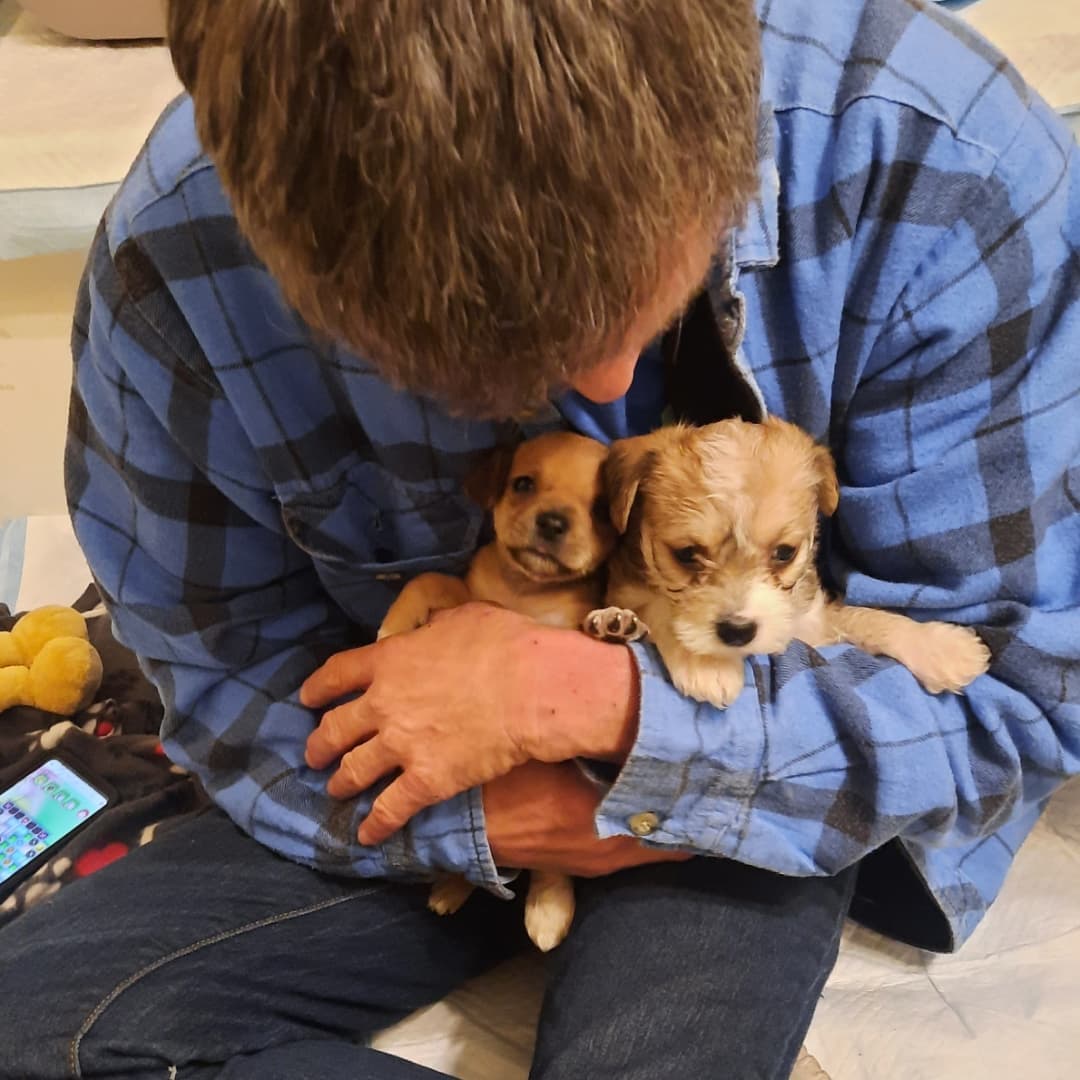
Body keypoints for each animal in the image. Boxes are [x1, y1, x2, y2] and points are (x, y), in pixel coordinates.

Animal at [380, 432, 617, 954]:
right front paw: (394, 625)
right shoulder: (469, 596)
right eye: (523, 484)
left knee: (549, 863)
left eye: (601, 508)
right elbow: (430, 577)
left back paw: (548, 908)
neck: (526, 589)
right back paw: (450, 888)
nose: (552, 521)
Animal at [587, 414, 989, 708]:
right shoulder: (633, 590)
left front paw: (945, 648)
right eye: (686, 555)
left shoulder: (812, 622)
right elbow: (662, 608)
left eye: (784, 553)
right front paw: (708, 662)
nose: (737, 632)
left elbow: (865, 618)